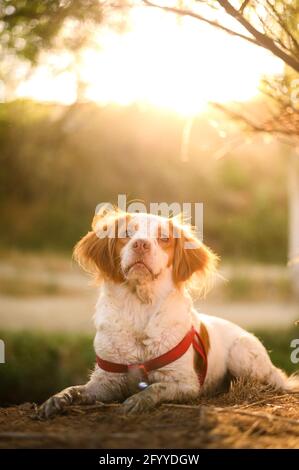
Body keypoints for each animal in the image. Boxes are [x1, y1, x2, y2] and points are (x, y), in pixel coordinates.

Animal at [38, 209, 298, 418]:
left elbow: (156, 388)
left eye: (164, 238)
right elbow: (75, 389)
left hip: (242, 353)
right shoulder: (105, 381)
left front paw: (138, 401)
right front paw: (56, 400)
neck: (140, 306)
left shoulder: (185, 383)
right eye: (126, 234)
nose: (141, 244)